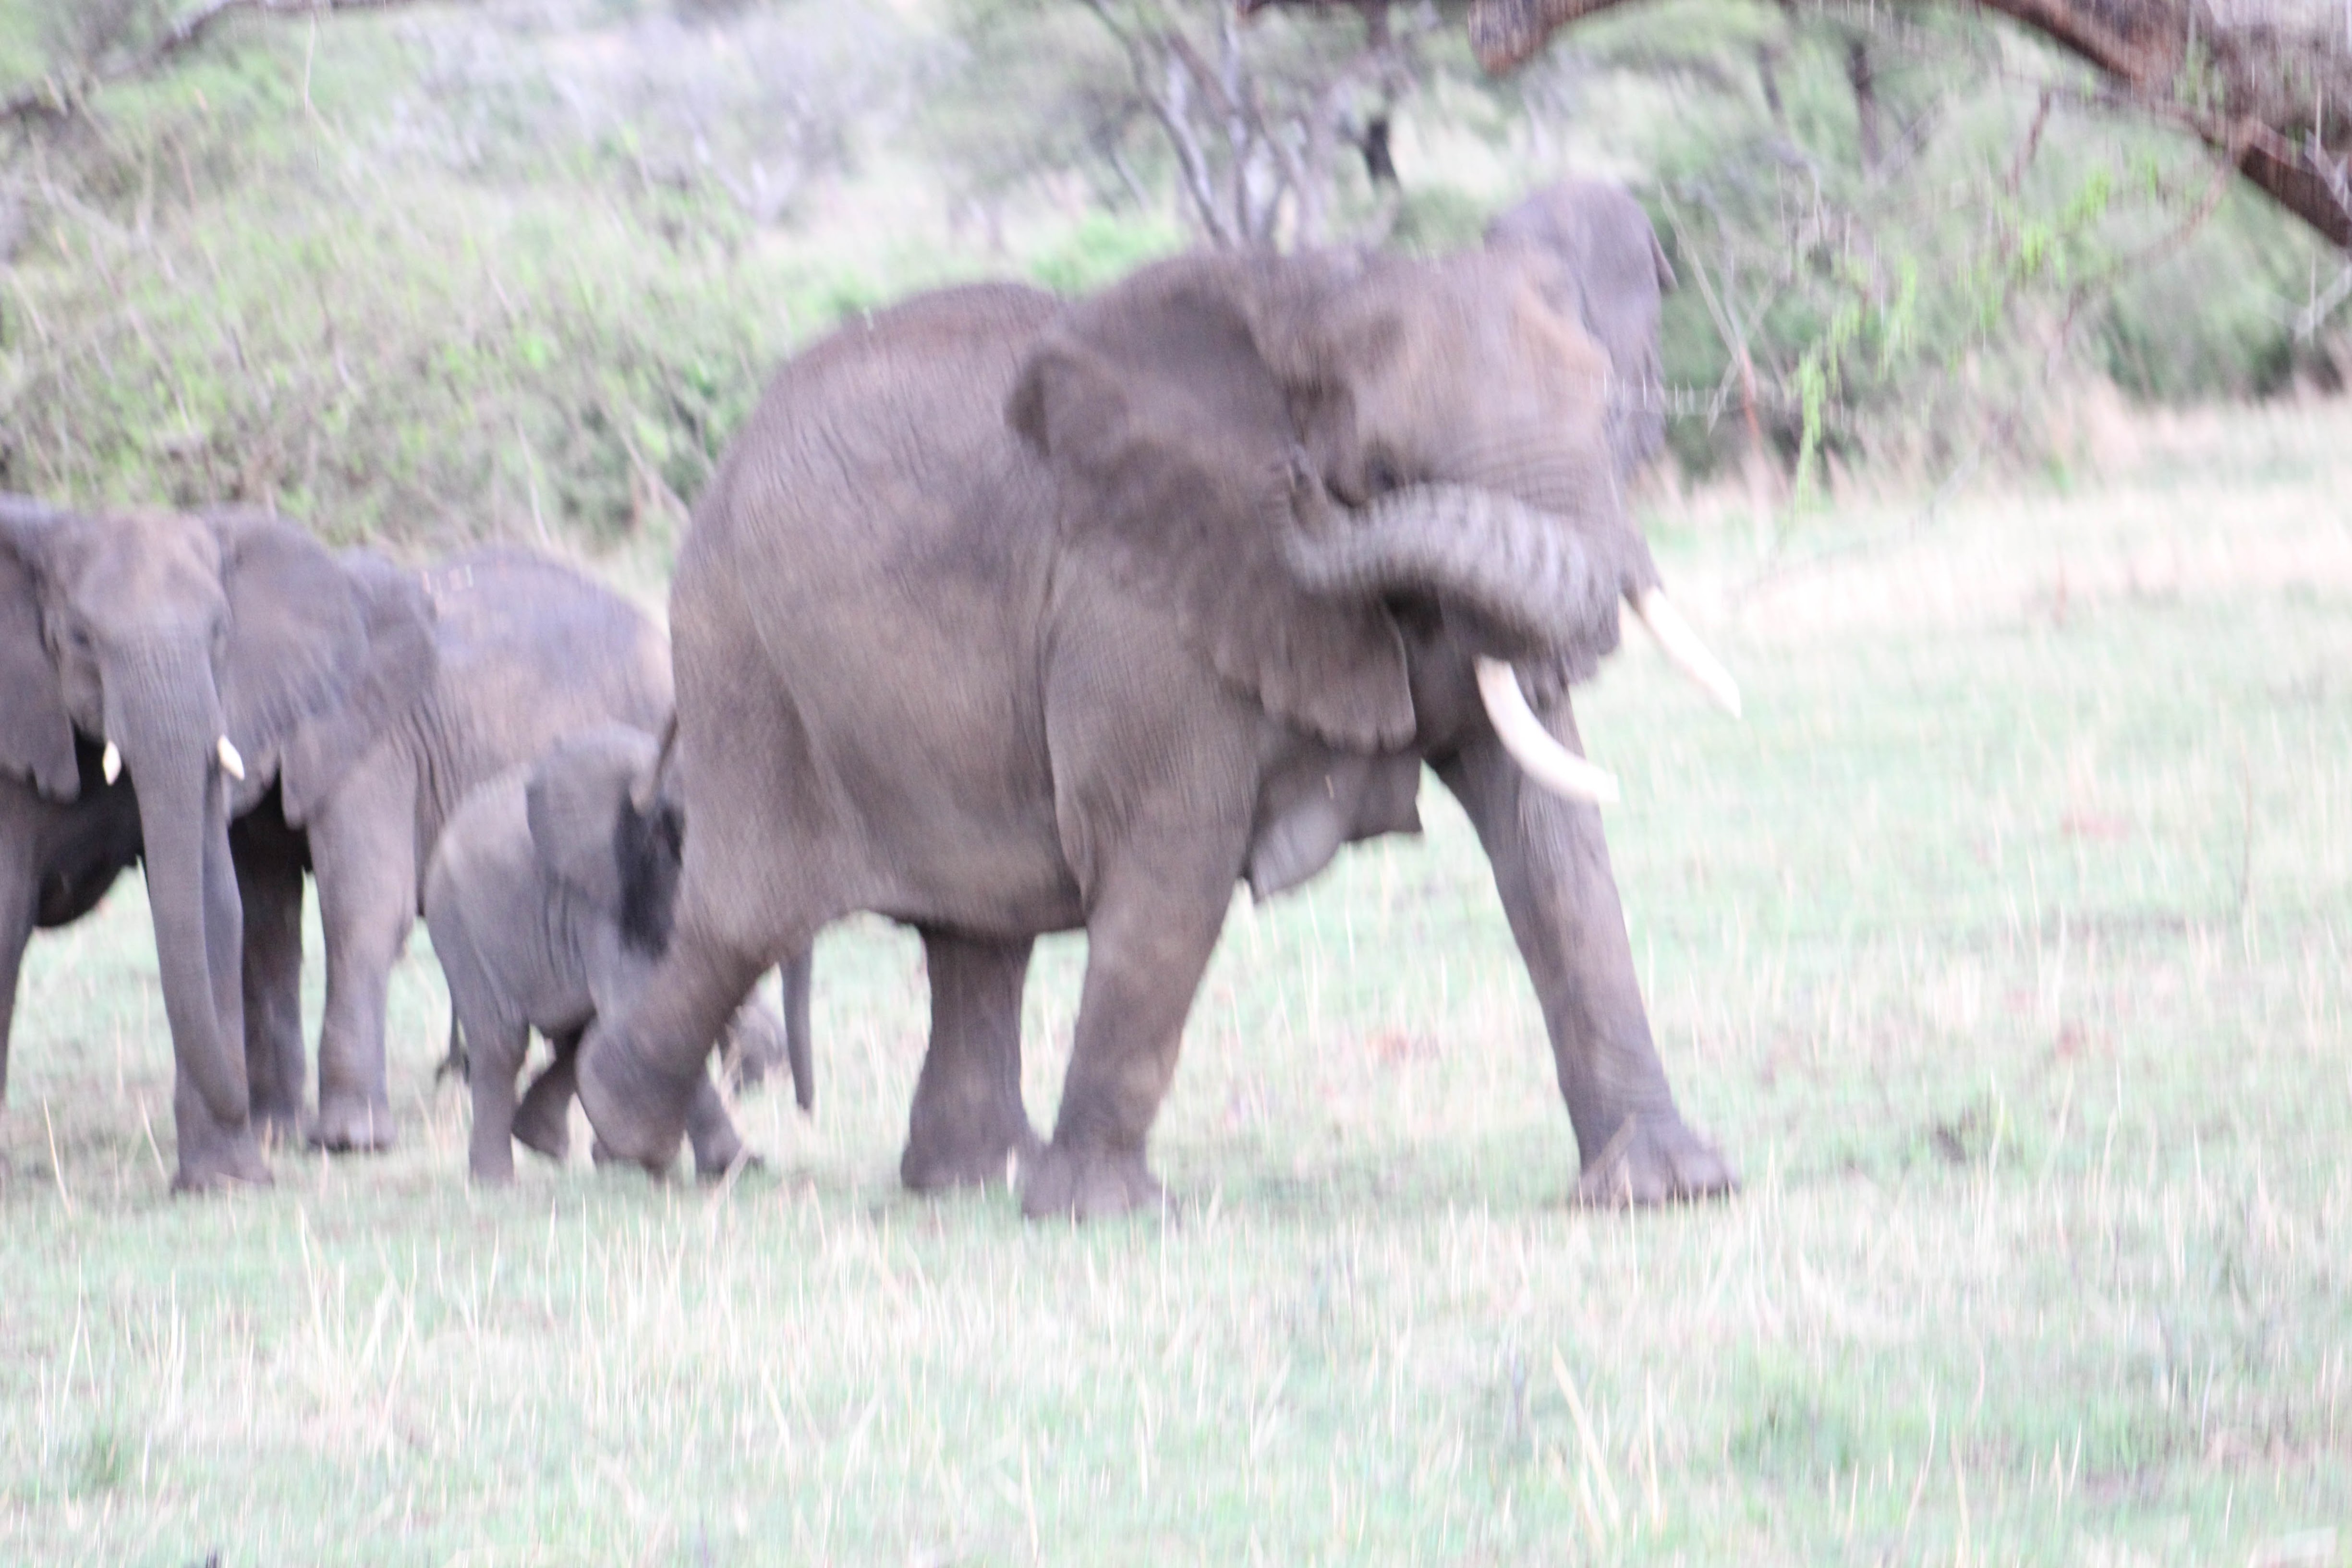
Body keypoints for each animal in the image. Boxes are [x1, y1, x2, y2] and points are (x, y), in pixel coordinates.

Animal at [428, 729, 813, 1185]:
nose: (805, 1112)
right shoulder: (608, 897)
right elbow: (650, 1008)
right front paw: (735, 1167)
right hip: (458, 925)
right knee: (501, 1043)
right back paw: (498, 1182)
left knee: (577, 1033)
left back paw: (557, 1145)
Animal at [571, 248, 1750, 1222]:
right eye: (1382, 471)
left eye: (1610, 418)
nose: (1295, 492)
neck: (1306, 295)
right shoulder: (1137, 601)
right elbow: (1173, 863)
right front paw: (1100, 1215)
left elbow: (1551, 845)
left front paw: (1671, 1189)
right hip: (744, 661)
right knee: (744, 918)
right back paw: (632, 1138)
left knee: (976, 935)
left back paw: (971, 1180)